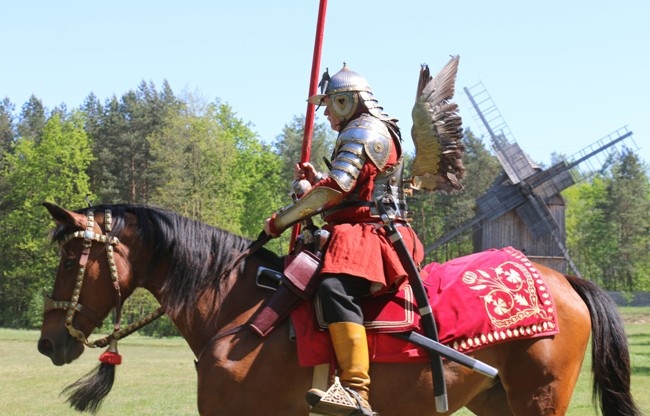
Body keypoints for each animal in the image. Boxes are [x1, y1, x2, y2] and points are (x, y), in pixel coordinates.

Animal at [38, 203, 640, 414]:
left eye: (70, 258)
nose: (48, 342)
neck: (238, 309)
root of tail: (562, 280)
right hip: (498, 402)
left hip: (540, 398)